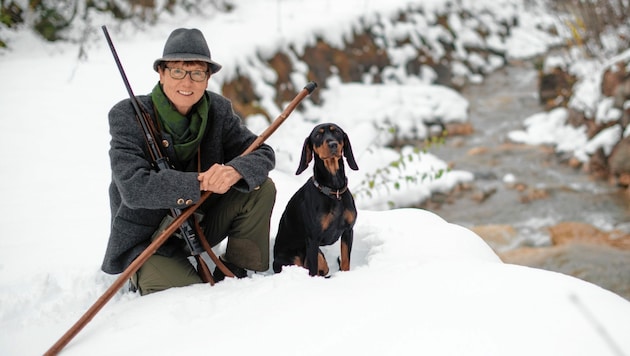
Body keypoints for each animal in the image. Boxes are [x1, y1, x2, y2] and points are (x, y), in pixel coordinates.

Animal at [272, 122, 358, 276]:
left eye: (337, 132)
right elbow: (312, 270)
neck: (333, 191)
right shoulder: (313, 239)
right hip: (293, 258)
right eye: (318, 135)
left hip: (321, 258)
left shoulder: (348, 231)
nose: (333, 144)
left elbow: (345, 262)